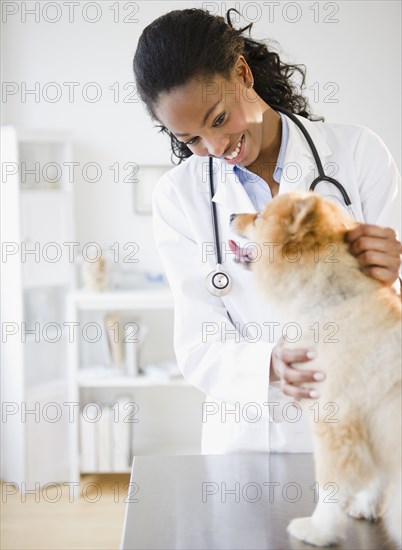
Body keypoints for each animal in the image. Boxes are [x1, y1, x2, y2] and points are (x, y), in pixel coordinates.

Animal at [231, 193, 400, 548]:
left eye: (259, 217)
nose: (231, 214)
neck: (331, 302)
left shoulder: (336, 422)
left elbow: (331, 486)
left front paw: (319, 529)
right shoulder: (370, 427)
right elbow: (374, 476)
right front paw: (365, 506)